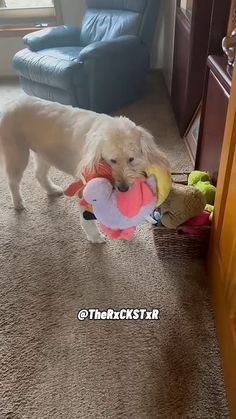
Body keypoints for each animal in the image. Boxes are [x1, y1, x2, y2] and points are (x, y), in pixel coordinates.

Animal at [0, 97, 170, 243]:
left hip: (44, 154)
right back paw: (18, 203)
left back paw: (52, 190)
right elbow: (88, 218)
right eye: (112, 160)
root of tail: (9, 104)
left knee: (39, 174)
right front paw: (96, 237)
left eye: (131, 159)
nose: (123, 188)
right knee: (13, 182)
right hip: (17, 154)